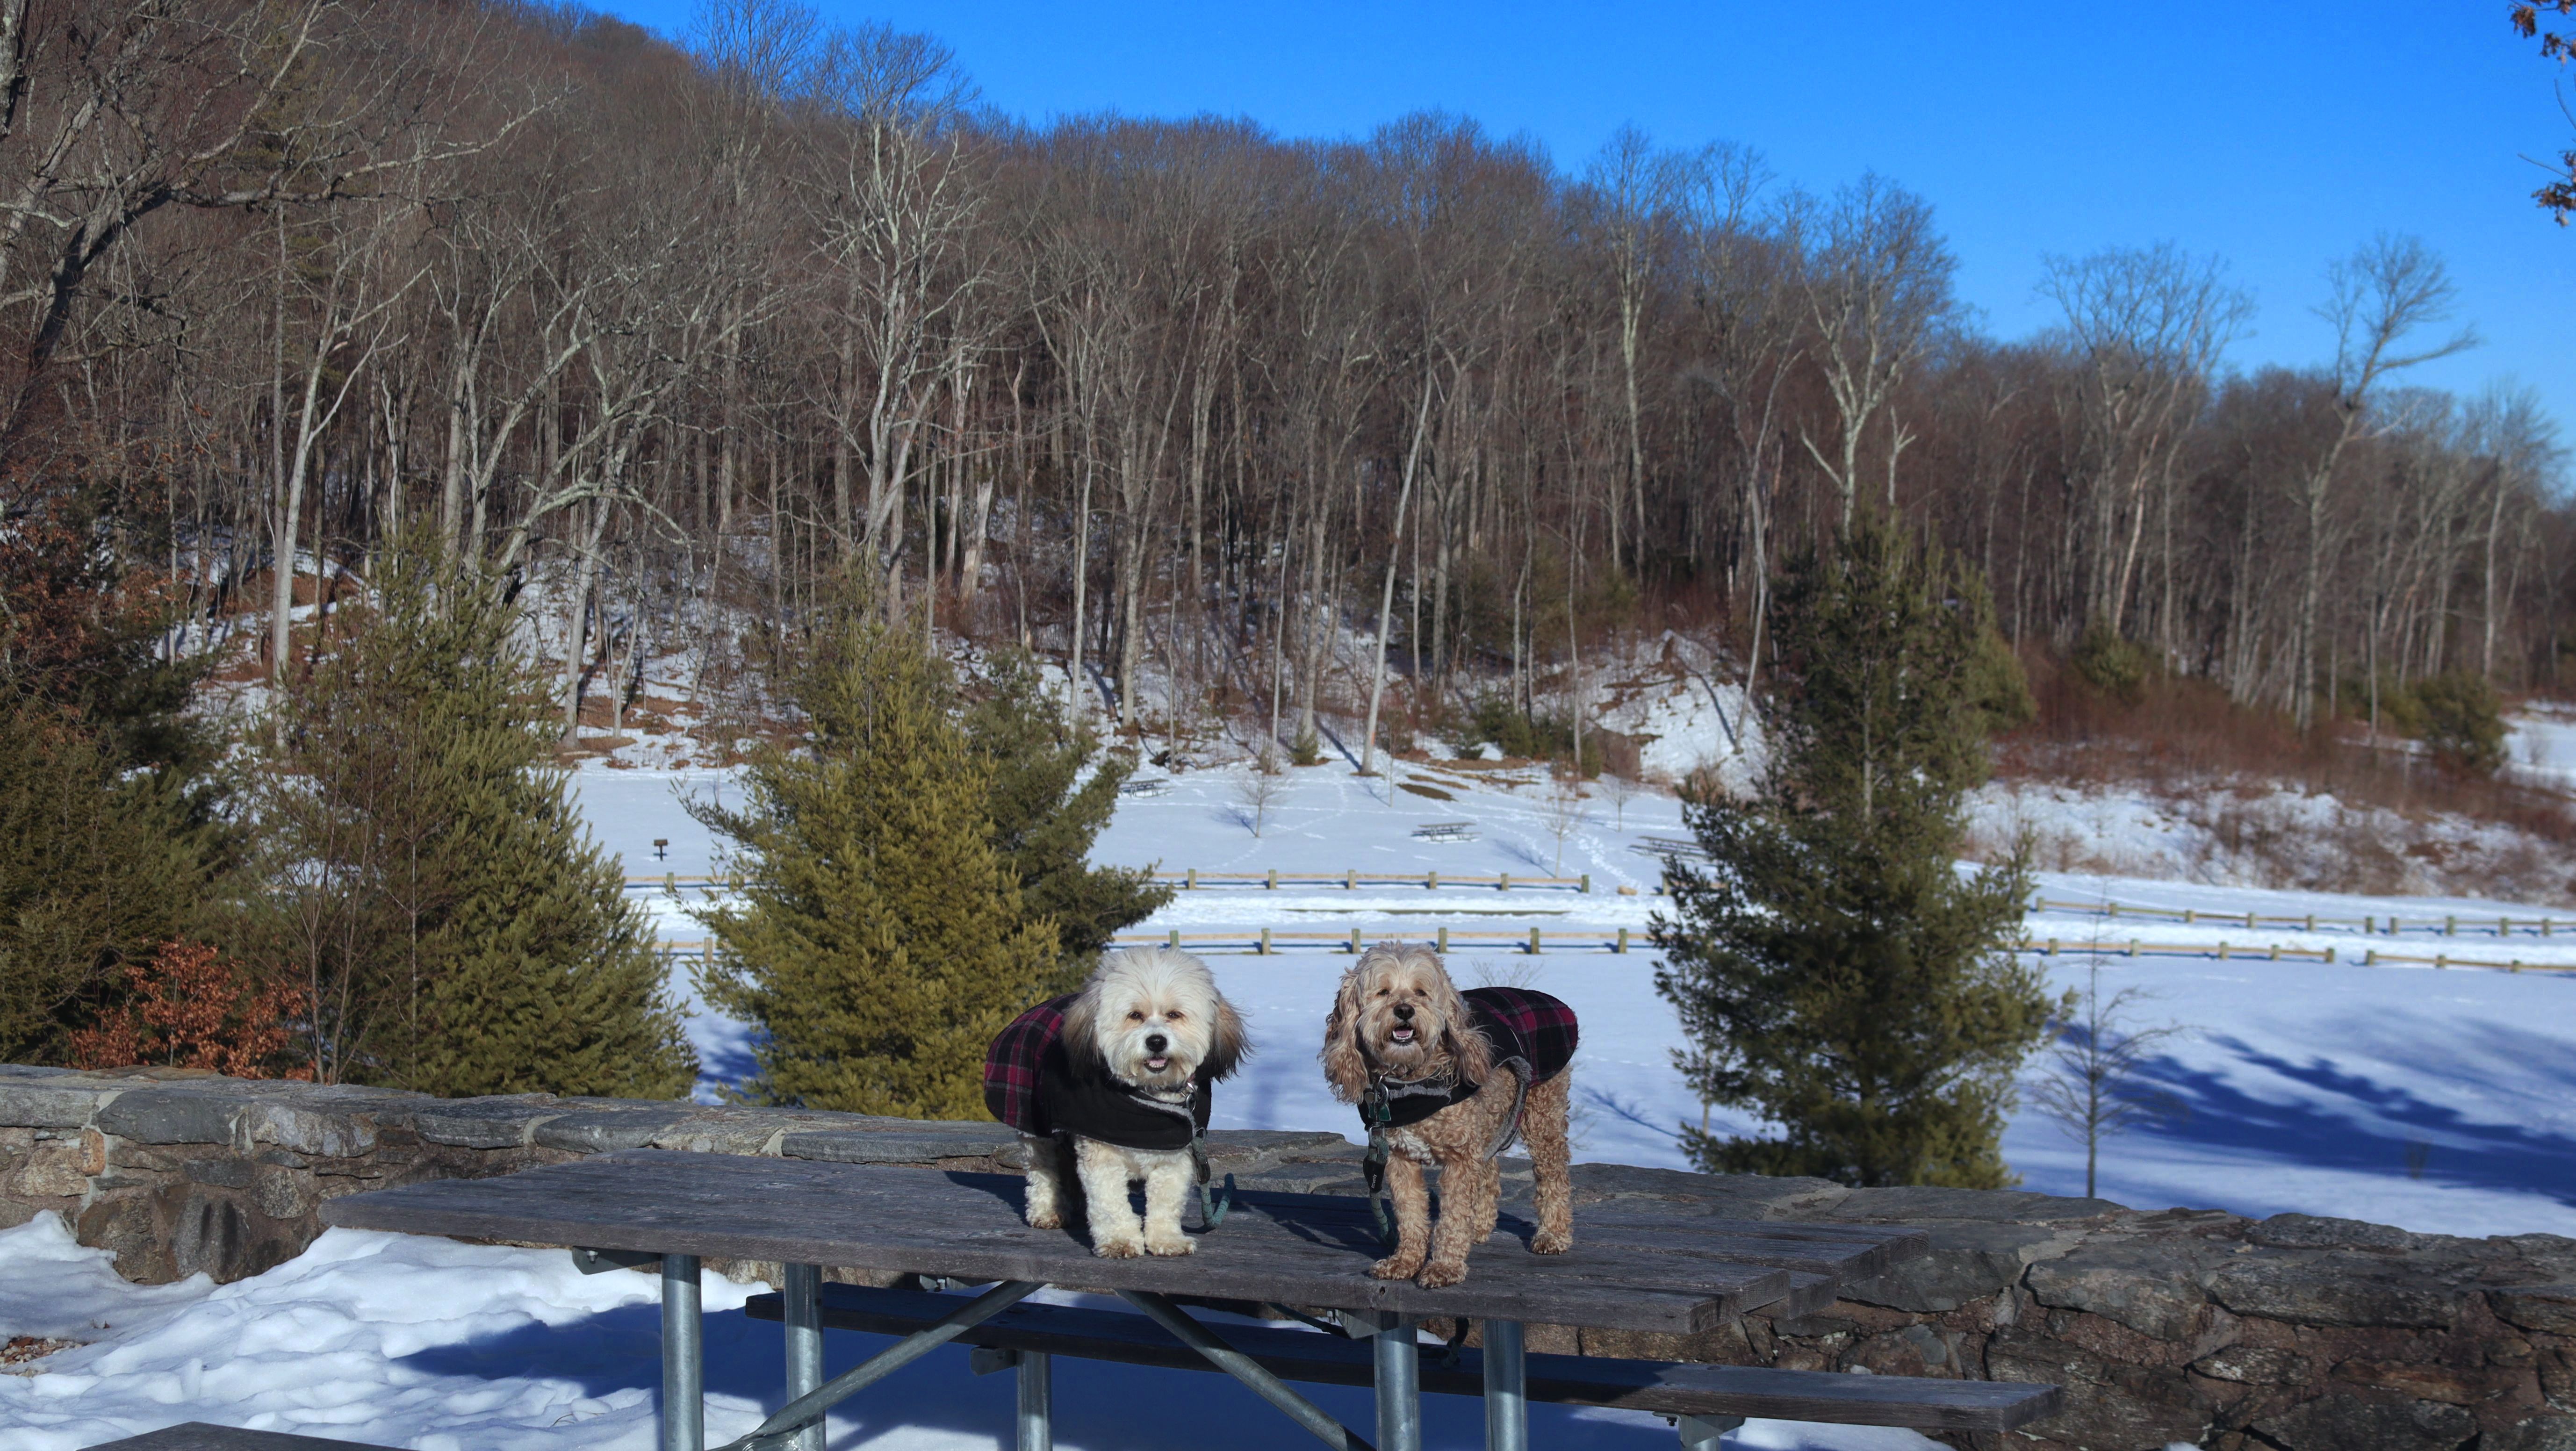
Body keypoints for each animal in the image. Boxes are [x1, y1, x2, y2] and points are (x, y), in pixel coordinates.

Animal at [985, 948, 1248, 1258]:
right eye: (1135, 1015)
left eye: (1174, 1015)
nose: (1156, 1041)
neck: (1146, 1098)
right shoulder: (1102, 1157)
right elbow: (1110, 1204)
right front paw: (1120, 1240)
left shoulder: (1176, 1157)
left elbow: (1166, 1203)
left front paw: (1167, 1240)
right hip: (1035, 1130)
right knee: (1043, 1171)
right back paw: (1048, 1211)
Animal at [1321, 943, 1578, 1288]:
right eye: (1383, 991)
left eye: (1421, 991)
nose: (1405, 1010)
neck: (1410, 1080)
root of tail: (1548, 1000)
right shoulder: (1399, 1156)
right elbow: (1410, 1214)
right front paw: (1405, 1261)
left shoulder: (1459, 1156)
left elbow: (1453, 1215)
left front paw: (1445, 1267)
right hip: (1489, 1117)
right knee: (1490, 1172)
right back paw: (1479, 1227)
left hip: (1542, 1112)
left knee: (1553, 1176)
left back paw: (1553, 1235)